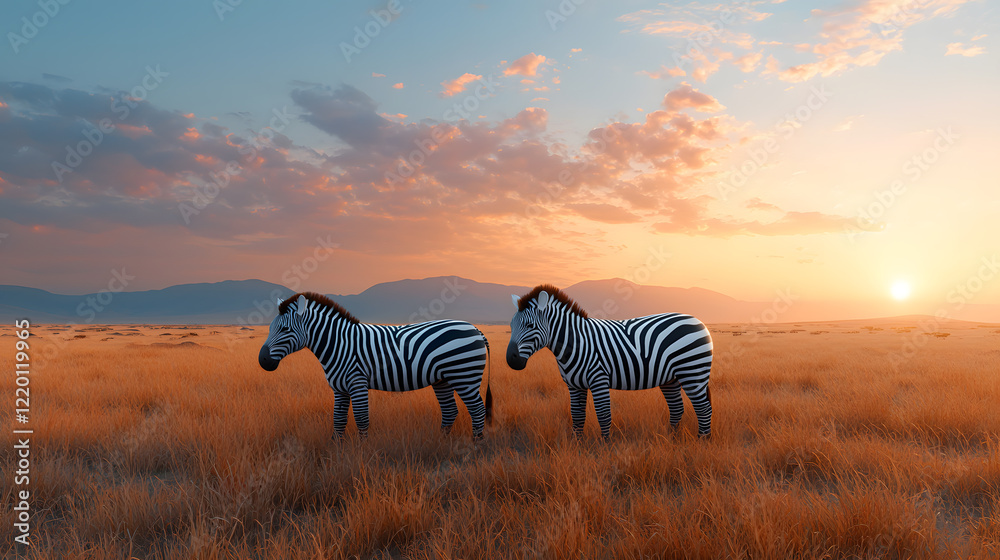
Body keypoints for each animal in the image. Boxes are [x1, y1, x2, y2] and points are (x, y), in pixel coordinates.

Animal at [258, 292, 493, 439]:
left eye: (286, 329)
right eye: (269, 328)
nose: (262, 361)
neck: (339, 343)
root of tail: (475, 328)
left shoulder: (357, 383)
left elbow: (361, 419)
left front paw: (361, 454)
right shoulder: (339, 389)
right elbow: (338, 421)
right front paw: (336, 452)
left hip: (465, 376)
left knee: (477, 409)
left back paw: (476, 444)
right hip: (442, 379)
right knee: (450, 410)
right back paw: (440, 442)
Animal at [506, 285, 713, 439]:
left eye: (530, 325)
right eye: (511, 325)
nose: (510, 360)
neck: (576, 343)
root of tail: (697, 321)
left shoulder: (599, 379)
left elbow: (603, 415)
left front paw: (605, 446)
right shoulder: (574, 385)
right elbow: (577, 416)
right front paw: (576, 444)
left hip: (692, 371)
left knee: (704, 408)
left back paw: (702, 441)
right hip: (670, 378)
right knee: (677, 408)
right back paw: (670, 439)